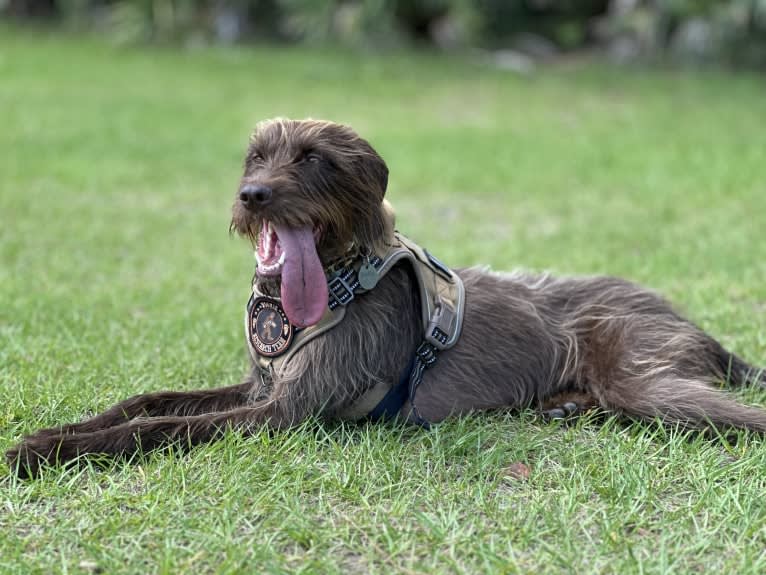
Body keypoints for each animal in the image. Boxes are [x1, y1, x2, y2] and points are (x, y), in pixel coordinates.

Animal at [7, 117, 766, 476]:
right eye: (256, 158)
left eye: (315, 159)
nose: (252, 195)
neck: (338, 282)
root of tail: (679, 315)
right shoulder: (259, 387)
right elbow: (150, 402)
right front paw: (61, 431)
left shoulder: (282, 413)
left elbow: (158, 428)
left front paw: (42, 453)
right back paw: (566, 406)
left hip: (650, 381)